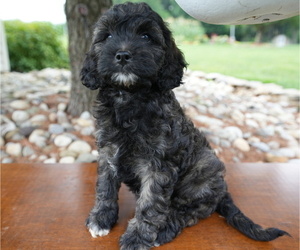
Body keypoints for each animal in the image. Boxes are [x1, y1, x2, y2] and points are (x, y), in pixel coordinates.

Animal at [79, 2, 288, 250]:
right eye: (107, 36)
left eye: (146, 36)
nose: (122, 55)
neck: (130, 97)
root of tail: (223, 190)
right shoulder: (108, 151)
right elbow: (105, 187)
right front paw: (101, 219)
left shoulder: (158, 165)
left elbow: (150, 204)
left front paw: (137, 237)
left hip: (201, 175)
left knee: (188, 211)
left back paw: (164, 229)